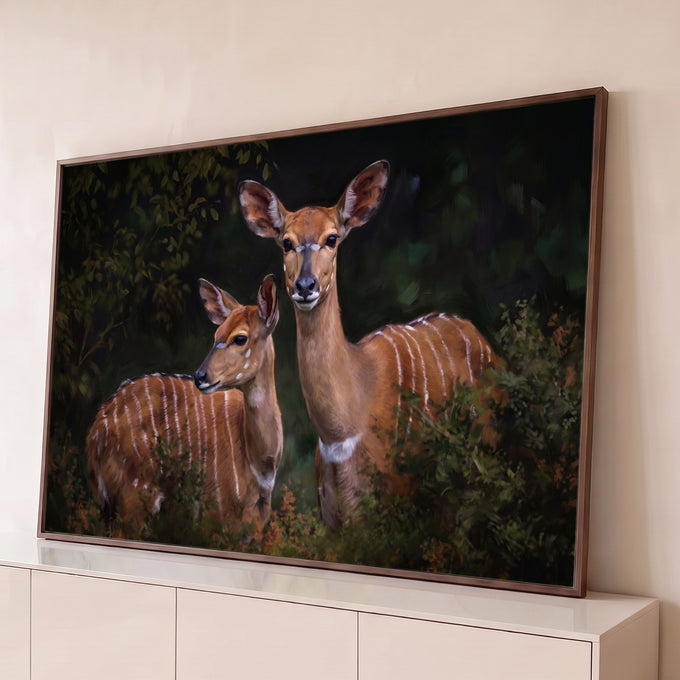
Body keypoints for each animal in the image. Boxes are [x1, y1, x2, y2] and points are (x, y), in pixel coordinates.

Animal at [86, 275, 282, 533]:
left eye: (240, 338)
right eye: (216, 335)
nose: (200, 376)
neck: (260, 462)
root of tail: (97, 432)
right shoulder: (217, 513)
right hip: (134, 498)